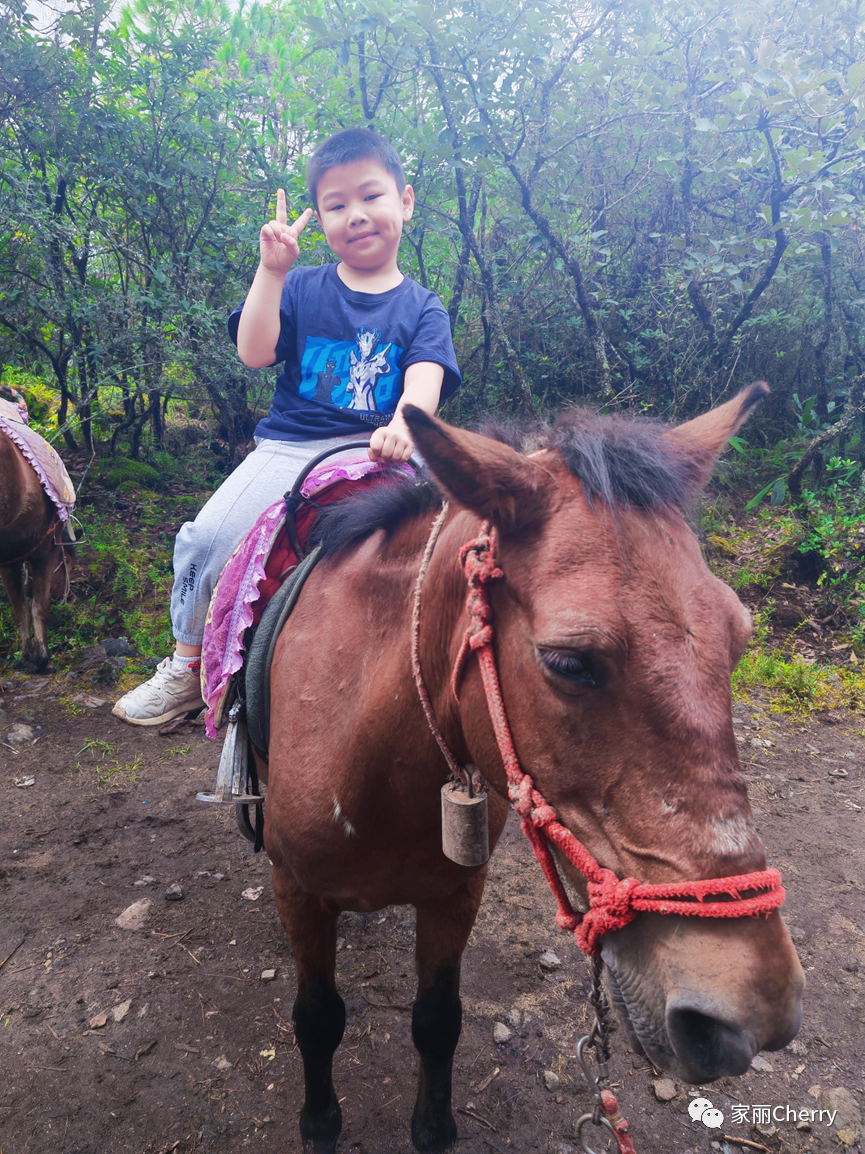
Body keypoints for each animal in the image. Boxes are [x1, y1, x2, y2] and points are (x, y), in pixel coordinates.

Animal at [0, 431, 71, 669]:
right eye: (67, 561)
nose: (64, 595)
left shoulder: (9, 560)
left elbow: (20, 608)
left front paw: (25, 656)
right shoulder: (45, 553)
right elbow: (39, 607)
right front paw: (41, 656)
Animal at [256, 383, 807, 1149]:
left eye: (740, 637)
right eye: (569, 662)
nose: (749, 1016)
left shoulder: (454, 896)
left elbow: (437, 1022)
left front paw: (432, 1126)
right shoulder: (298, 892)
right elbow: (317, 1020)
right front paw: (319, 1123)